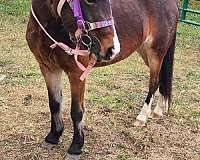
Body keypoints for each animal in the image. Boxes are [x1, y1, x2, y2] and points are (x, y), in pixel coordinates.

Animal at [25, 0, 179, 158]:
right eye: (89, 1)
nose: (113, 49)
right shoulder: (48, 69)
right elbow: (55, 104)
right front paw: (53, 136)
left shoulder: (76, 73)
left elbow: (76, 111)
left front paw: (76, 146)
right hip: (145, 52)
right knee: (161, 79)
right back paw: (159, 110)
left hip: (156, 52)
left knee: (153, 82)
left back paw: (142, 116)